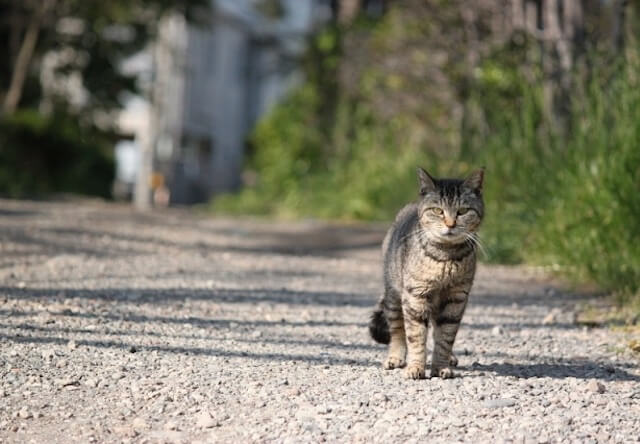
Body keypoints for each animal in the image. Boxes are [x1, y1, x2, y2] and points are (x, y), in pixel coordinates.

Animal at [368, 166, 482, 378]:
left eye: (462, 211)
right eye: (438, 211)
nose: (450, 224)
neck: (446, 257)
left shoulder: (456, 298)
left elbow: (445, 336)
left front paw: (440, 366)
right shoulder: (415, 296)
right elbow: (416, 337)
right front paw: (416, 367)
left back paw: (450, 358)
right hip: (394, 296)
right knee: (398, 330)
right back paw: (395, 357)